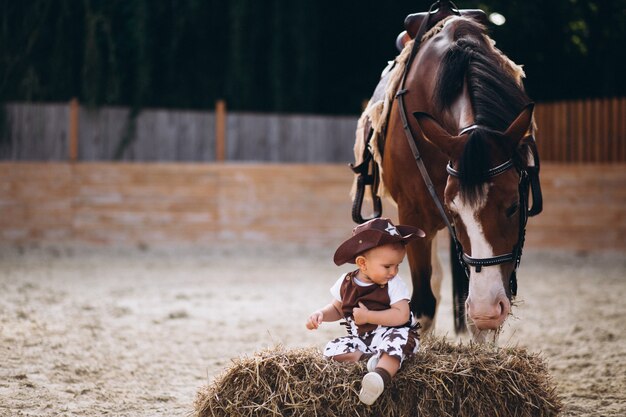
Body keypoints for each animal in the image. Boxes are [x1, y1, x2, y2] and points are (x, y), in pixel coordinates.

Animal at [356, 4, 540, 342]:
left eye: (513, 206)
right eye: (454, 213)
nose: (485, 307)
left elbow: (478, 326)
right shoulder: (413, 215)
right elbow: (423, 305)